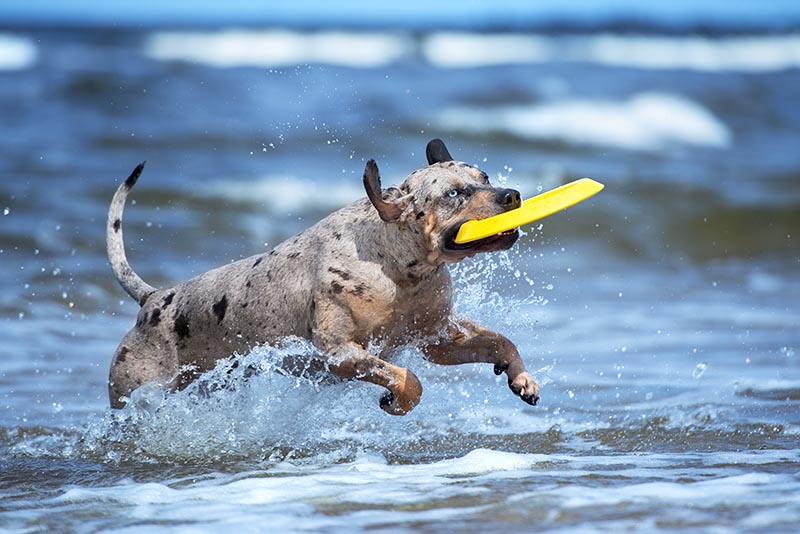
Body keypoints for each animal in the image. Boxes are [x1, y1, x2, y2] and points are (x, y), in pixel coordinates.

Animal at [106, 138, 540, 414]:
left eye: (485, 178)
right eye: (453, 194)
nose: (512, 195)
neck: (400, 272)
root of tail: (150, 300)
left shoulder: (437, 338)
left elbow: (501, 341)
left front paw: (521, 378)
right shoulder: (340, 353)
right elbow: (406, 379)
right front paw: (399, 400)